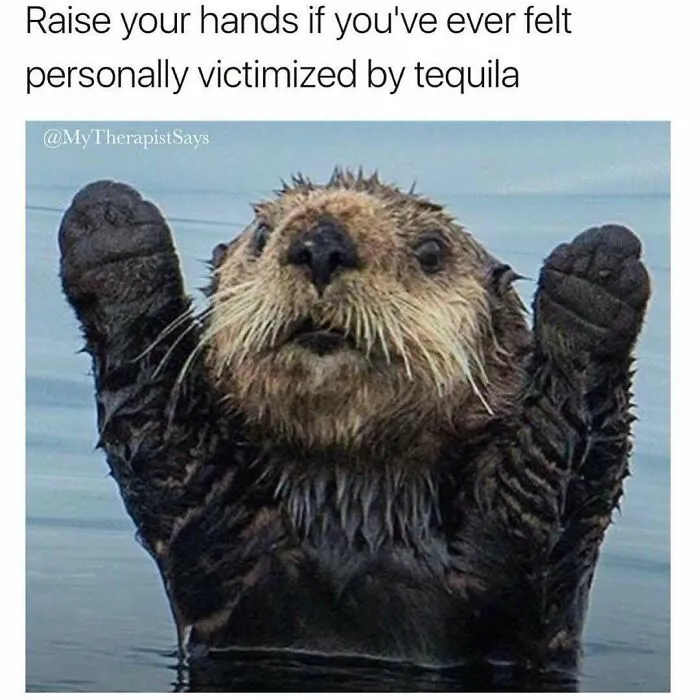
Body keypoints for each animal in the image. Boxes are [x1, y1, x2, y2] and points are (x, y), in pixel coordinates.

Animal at [58, 171, 650, 680]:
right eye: (263, 235)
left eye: (431, 251)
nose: (321, 245)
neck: (356, 511)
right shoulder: (214, 533)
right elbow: (157, 425)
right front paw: (111, 224)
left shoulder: (525, 565)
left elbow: (557, 473)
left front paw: (598, 270)